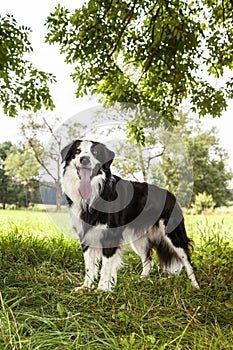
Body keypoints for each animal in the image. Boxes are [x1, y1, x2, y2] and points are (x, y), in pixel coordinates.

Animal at [60, 140, 198, 292]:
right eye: (77, 151)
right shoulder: (85, 234)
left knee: (187, 259)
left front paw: (102, 289)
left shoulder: (110, 235)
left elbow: (106, 266)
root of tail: (171, 195)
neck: (95, 191)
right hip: (139, 240)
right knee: (149, 261)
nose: (84, 159)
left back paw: (195, 286)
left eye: (94, 152)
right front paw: (86, 286)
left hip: (173, 234)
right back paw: (141, 280)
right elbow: (89, 265)